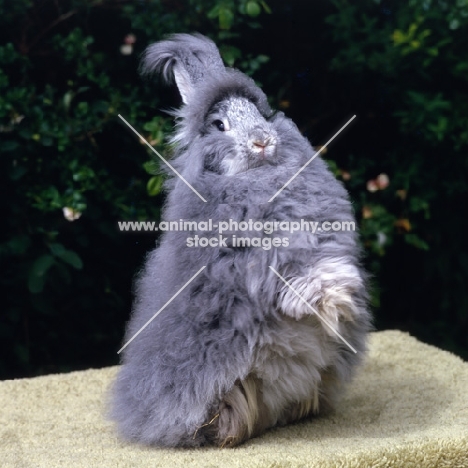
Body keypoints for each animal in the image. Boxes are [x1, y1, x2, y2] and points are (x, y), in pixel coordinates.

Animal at [111, 31, 372, 448]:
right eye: (219, 125)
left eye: (261, 116)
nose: (263, 141)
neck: (259, 178)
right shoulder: (256, 262)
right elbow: (292, 281)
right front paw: (321, 301)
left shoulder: (326, 241)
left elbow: (330, 266)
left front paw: (342, 299)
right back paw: (227, 432)